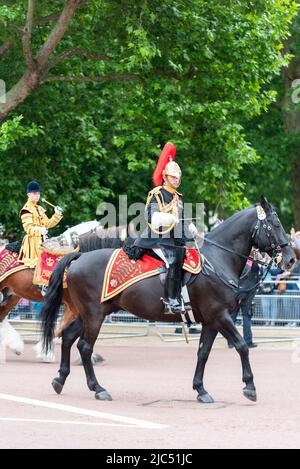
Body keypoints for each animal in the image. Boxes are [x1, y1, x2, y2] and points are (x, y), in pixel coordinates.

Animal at [41, 197, 296, 402]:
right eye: (275, 224)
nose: (291, 259)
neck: (217, 260)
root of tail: (78, 256)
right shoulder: (220, 316)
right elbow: (242, 346)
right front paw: (250, 386)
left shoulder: (211, 321)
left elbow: (203, 353)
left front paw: (201, 389)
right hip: (94, 314)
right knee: (84, 346)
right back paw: (98, 388)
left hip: (90, 313)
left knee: (68, 338)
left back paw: (60, 380)